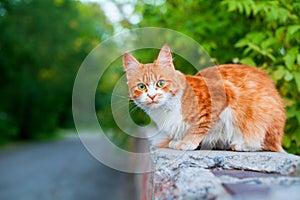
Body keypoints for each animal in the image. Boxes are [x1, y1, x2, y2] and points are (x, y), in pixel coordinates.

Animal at [122, 45, 286, 152]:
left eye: (161, 83)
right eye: (142, 87)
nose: (152, 96)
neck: (166, 110)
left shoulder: (222, 95)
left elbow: (201, 125)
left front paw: (188, 142)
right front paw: (178, 141)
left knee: (260, 142)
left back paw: (241, 145)